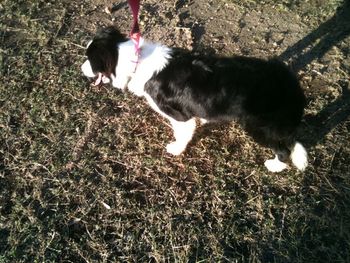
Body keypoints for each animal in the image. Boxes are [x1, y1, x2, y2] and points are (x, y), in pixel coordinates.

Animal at [81, 26, 306, 173]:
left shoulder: (181, 117)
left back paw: (275, 166)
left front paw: (176, 149)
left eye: (90, 60)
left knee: (284, 150)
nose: (80, 69)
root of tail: (291, 84)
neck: (136, 60)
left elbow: (182, 134)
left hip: (258, 127)